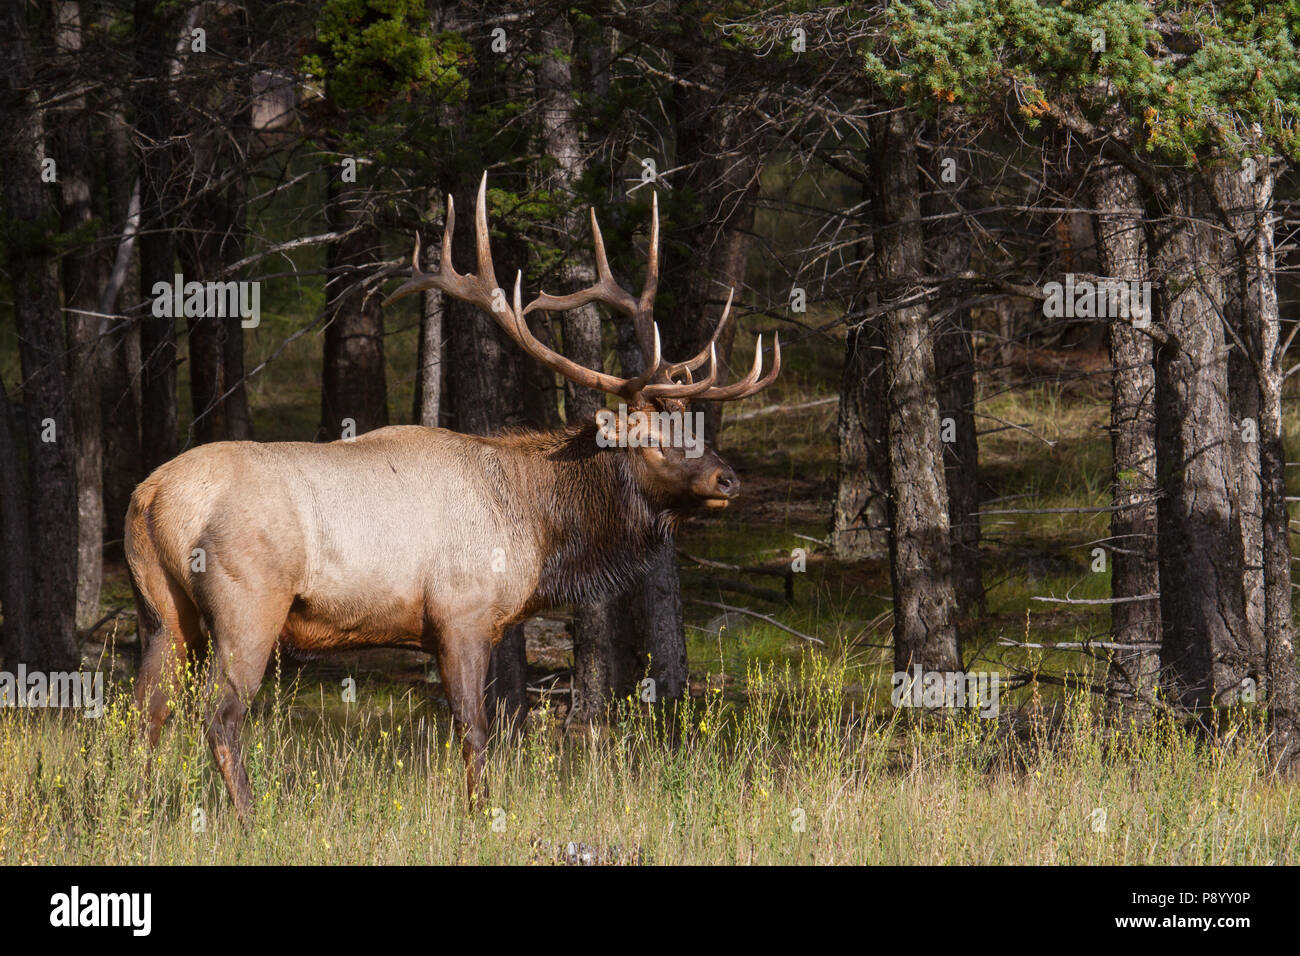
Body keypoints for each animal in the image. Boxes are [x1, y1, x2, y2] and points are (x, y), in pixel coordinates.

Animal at [127, 173, 780, 820]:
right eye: (653, 438)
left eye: (692, 424)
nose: (728, 480)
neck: (538, 530)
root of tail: (153, 495)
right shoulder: (461, 613)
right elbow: (475, 726)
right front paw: (483, 815)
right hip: (249, 602)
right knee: (219, 717)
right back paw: (248, 820)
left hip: (163, 610)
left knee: (143, 715)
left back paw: (134, 813)